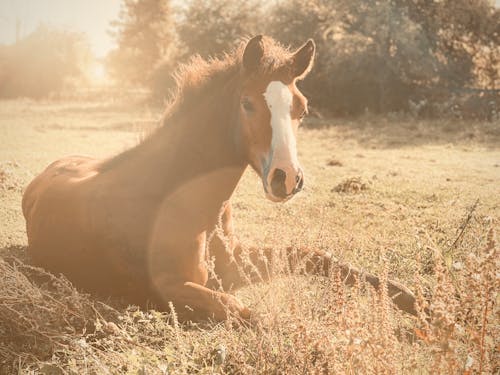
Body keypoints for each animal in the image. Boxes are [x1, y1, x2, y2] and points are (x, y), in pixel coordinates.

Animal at [20, 36, 418, 322]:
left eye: (302, 109)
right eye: (247, 103)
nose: (287, 179)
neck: (181, 200)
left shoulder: (236, 263)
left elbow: (317, 257)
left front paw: (414, 303)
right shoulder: (172, 288)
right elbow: (250, 313)